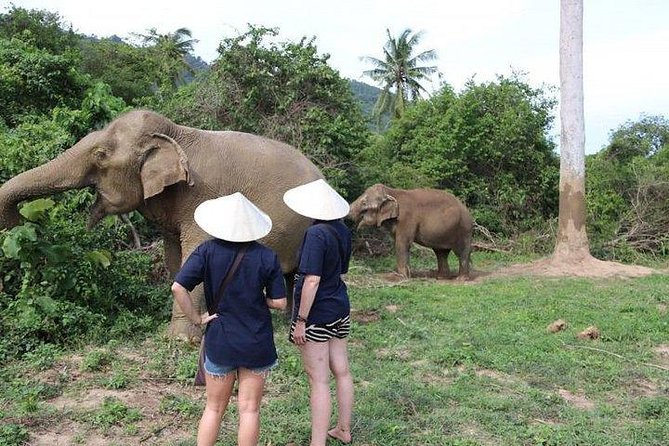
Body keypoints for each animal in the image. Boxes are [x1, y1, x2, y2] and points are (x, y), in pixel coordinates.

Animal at [0, 110, 324, 340]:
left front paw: (181, 341)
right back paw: (283, 324)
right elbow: (174, 259)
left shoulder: (203, 195)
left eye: (100, 155)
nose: (24, 221)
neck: (176, 134)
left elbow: (195, 254)